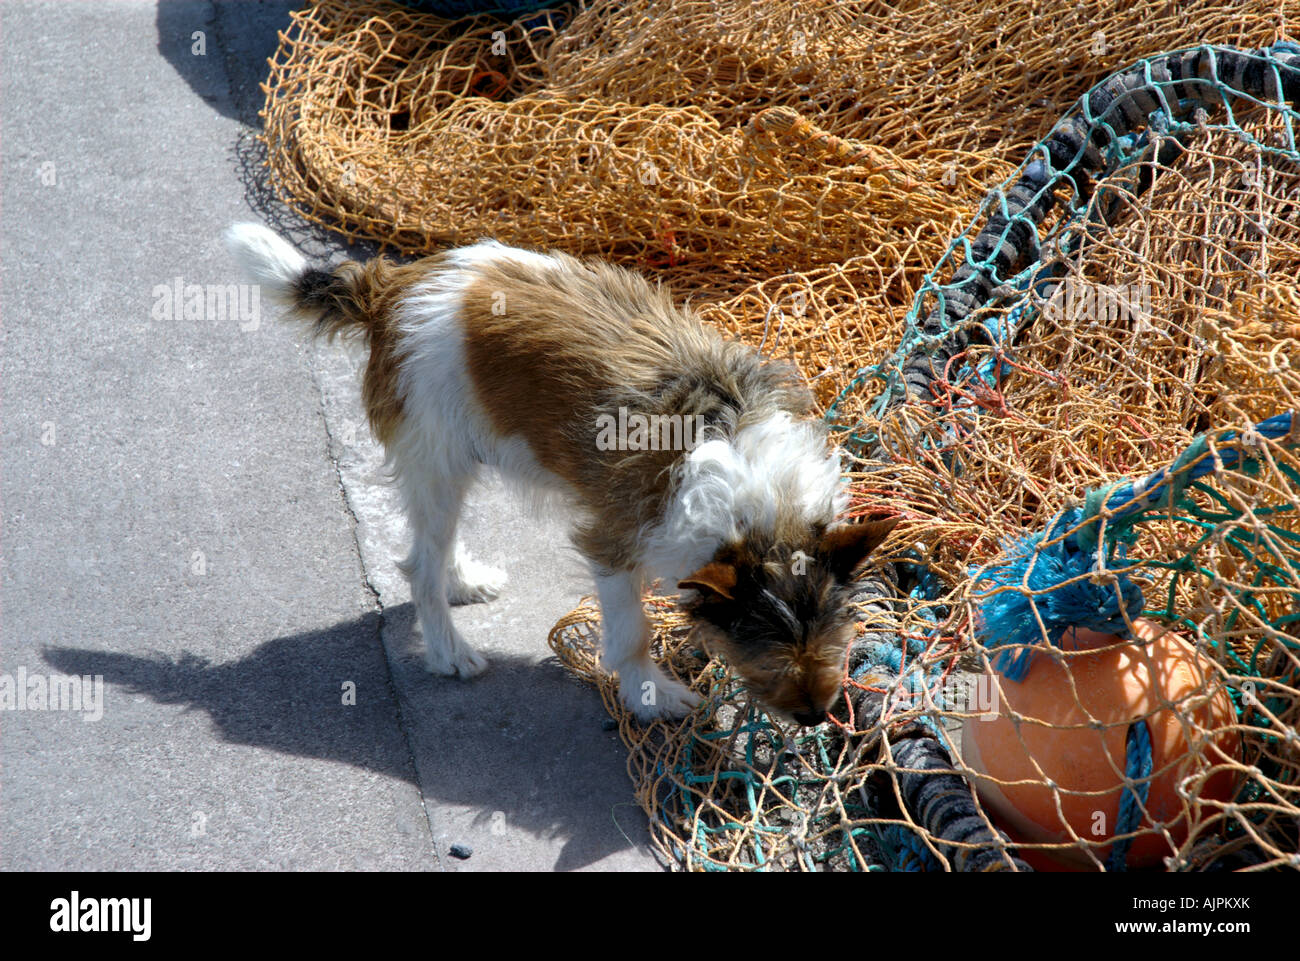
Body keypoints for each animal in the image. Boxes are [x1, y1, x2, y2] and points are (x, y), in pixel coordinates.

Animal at [226, 223, 894, 723]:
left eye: (835, 636)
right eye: (770, 652)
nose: (817, 716)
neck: (761, 499)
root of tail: (392, 286)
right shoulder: (613, 542)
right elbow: (631, 631)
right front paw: (652, 695)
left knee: (434, 544)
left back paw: (464, 578)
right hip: (434, 454)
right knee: (419, 564)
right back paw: (449, 649)